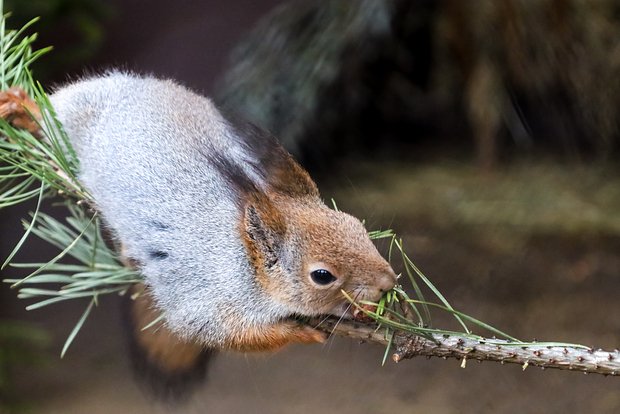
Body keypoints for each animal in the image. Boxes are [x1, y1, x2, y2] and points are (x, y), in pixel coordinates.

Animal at [0, 72, 398, 394]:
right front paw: (301, 332)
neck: (246, 258)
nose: (389, 282)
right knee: (48, 117)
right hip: (70, 113)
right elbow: (228, 334)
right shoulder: (206, 299)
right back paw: (24, 110)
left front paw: (364, 309)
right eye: (322, 275)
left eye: (356, 225)